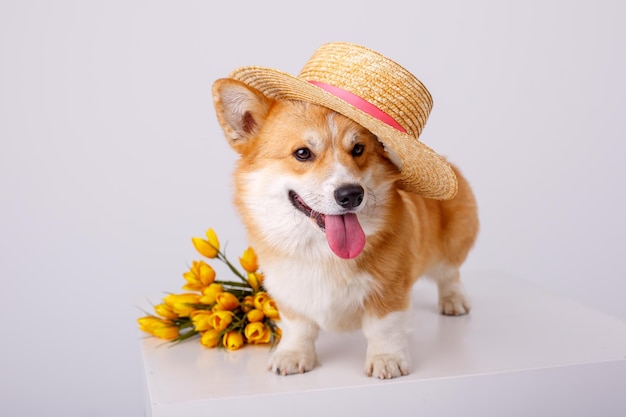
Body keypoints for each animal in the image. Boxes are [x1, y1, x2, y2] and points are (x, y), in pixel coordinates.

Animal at [211, 78, 478, 376]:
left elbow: (383, 327)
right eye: (302, 153)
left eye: (358, 149)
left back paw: (453, 301)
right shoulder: (288, 288)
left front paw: (387, 359)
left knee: (449, 273)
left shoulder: (390, 287)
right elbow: (297, 326)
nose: (351, 195)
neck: (321, 250)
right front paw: (293, 355)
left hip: (452, 241)